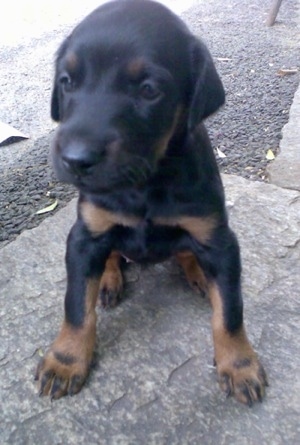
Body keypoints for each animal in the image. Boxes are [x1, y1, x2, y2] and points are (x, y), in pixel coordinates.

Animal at [36, 0, 268, 402]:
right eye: (67, 82)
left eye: (148, 89)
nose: (75, 160)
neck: (145, 182)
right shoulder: (85, 235)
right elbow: (77, 305)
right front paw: (65, 360)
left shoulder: (218, 239)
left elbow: (230, 311)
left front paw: (240, 365)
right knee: (112, 257)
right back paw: (109, 279)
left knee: (186, 253)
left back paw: (198, 273)